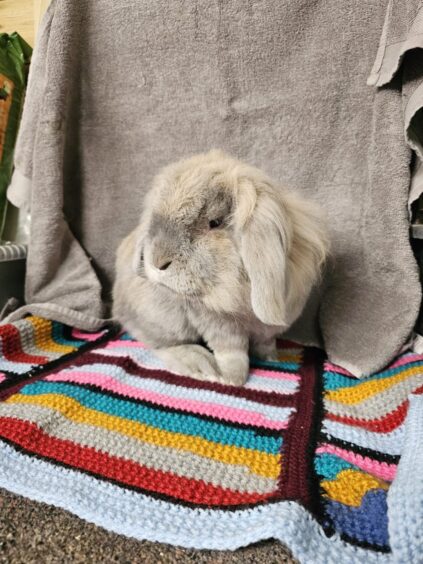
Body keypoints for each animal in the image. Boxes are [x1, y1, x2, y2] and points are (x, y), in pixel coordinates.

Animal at [113, 148, 332, 386]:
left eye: (215, 223)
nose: (156, 261)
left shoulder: (268, 330)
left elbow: (266, 342)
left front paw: (272, 358)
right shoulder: (217, 324)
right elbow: (233, 352)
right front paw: (232, 379)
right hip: (165, 319)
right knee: (155, 341)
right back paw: (199, 363)